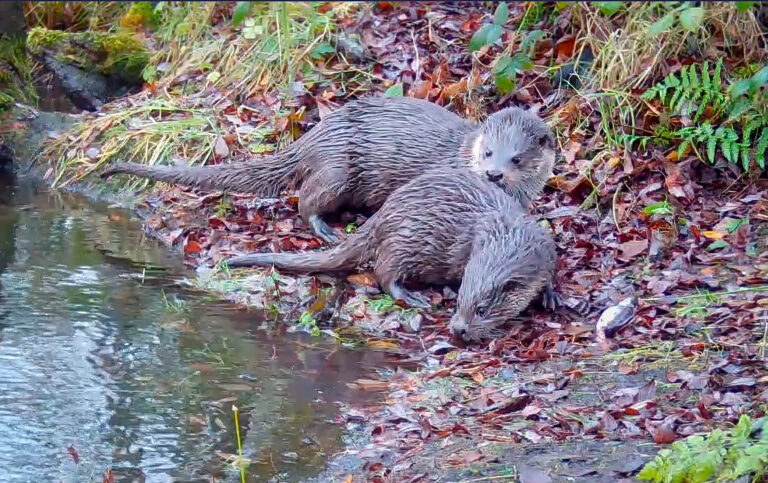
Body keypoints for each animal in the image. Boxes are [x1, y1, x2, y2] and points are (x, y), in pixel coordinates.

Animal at [101, 97, 556, 244]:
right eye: (488, 152)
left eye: (516, 158)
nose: (493, 174)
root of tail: (316, 135)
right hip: (338, 170)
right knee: (305, 200)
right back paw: (326, 229)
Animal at [225, 168, 557, 342]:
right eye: (460, 303)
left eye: (482, 310)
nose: (458, 329)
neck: (508, 232)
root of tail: (384, 214)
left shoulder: (545, 246)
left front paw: (551, 295)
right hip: (406, 240)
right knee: (384, 272)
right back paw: (412, 296)